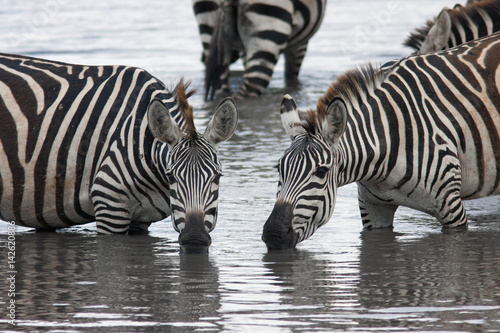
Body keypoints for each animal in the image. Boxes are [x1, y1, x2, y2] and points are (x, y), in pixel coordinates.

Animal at [192, 0, 328, 98]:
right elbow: (291, 74)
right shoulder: (300, 45)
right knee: (247, 92)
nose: (202, 58)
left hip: (207, 21)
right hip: (269, 24)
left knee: (221, 88)